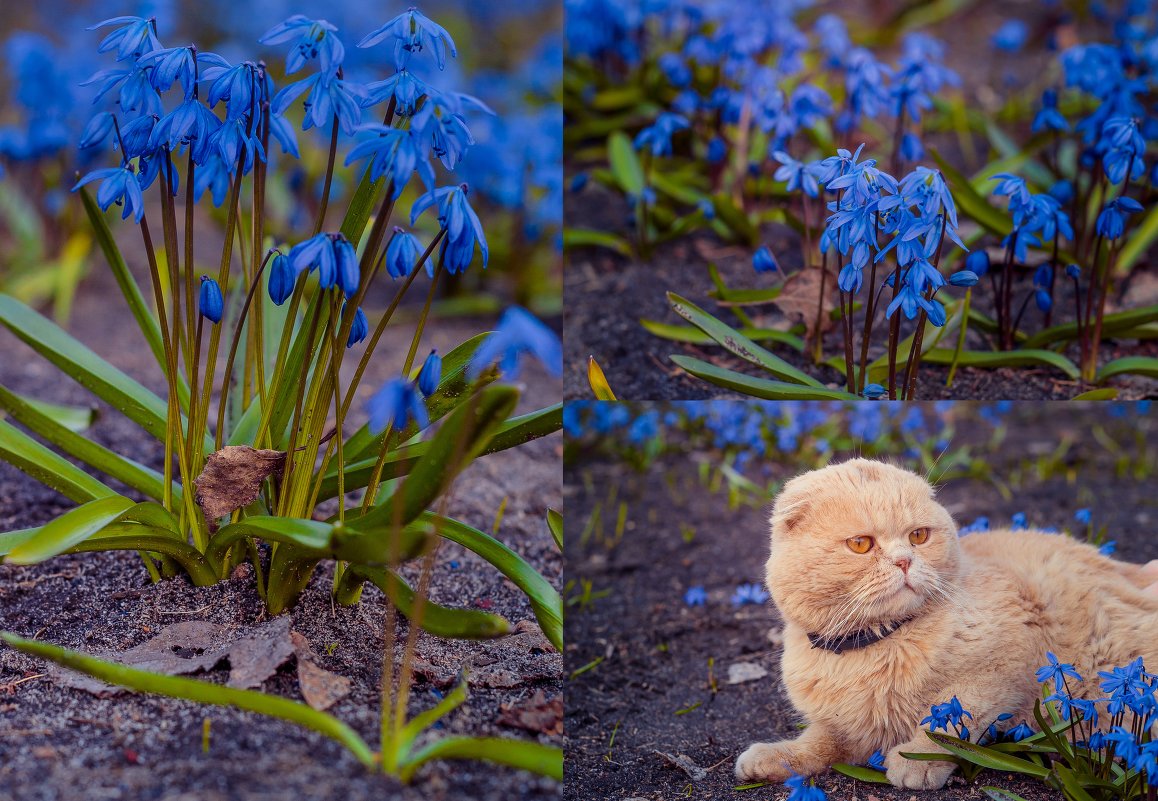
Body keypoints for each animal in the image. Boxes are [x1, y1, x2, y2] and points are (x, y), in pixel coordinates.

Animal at [731, 456, 1158, 787]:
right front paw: (775, 757)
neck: (878, 643)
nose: (904, 561)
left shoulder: (1004, 668)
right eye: (861, 544)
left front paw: (914, 762)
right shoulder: (848, 726)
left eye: (918, 536)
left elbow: (946, 720)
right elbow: (817, 741)